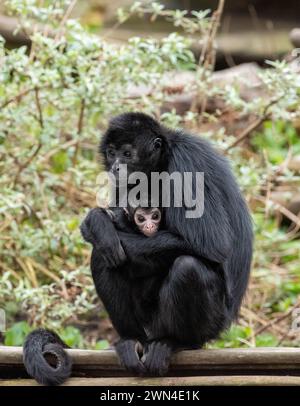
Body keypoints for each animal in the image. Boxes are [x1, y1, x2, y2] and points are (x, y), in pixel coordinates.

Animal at [24, 112, 253, 384]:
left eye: (127, 154)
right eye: (112, 153)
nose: (115, 167)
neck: (163, 163)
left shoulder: (187, 164)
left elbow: (214, 244)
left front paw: (97, 227)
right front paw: (98, 222)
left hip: (208, 322)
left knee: (187, 265)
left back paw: (175, 342)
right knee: (105, 258)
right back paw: (133, 342)